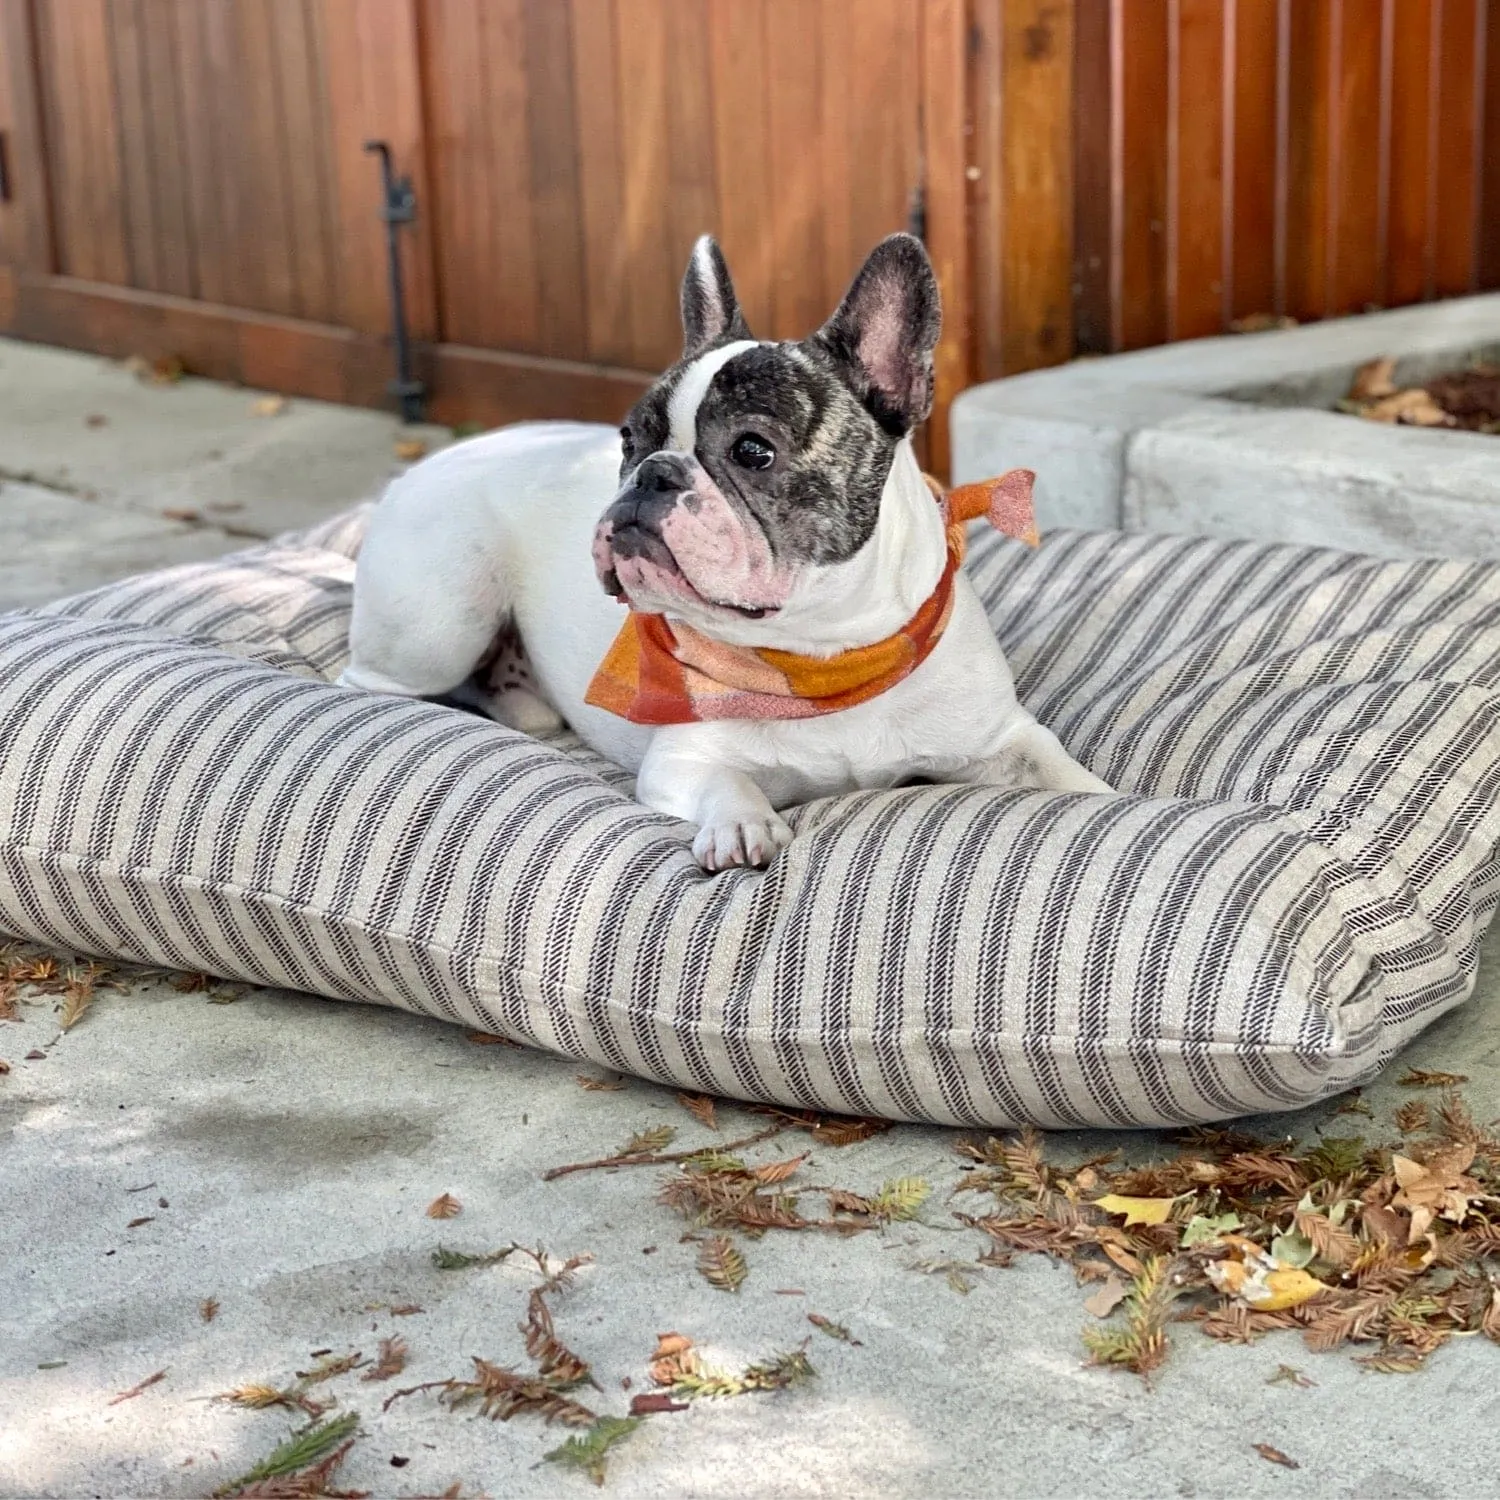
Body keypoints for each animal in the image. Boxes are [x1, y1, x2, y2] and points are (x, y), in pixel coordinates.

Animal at [343, 229, 1116, 876]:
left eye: (753, 451)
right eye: (629, 440)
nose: (652, 475)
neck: (821, 656)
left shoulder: (1003, 737)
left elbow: (1070, 779)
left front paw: (1111, 801)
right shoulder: (680, 760)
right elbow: (727, 779)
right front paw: (743, 825)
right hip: (443, 624)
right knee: (375, 684)